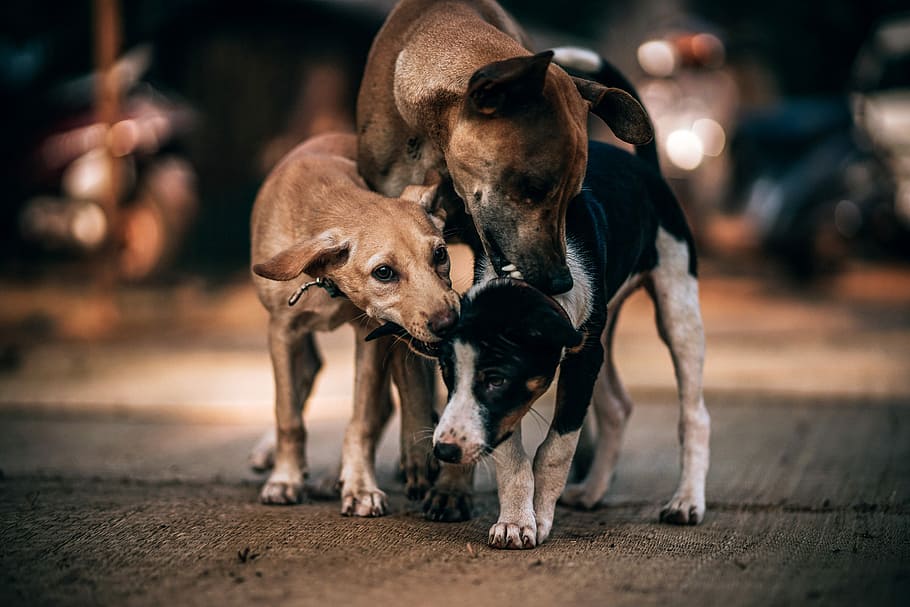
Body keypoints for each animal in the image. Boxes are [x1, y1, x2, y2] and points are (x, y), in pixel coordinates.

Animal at [249, 131, 460, 516]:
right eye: (384, 272)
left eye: (440, 254)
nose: (449, 322)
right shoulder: (282, 330)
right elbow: (288, 414)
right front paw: (285, 479)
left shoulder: (370, 334)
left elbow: (361, 420)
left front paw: (360, 486)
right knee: (305, 377)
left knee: (381, 405)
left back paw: (337, 476)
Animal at [420, 60, 712, 548]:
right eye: (447, 374)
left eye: (495, 378)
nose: (445, 449)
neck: (533, 282)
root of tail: (642, 164)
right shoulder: (574, 358)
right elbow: (512, 455)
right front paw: (516, 520)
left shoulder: (581, 357)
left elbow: (555, 449)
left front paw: (538, 516)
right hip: (606, 331)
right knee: (617, 407)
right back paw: (592, 491)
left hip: (678, 307)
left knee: (694, 414)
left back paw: (687, 501)